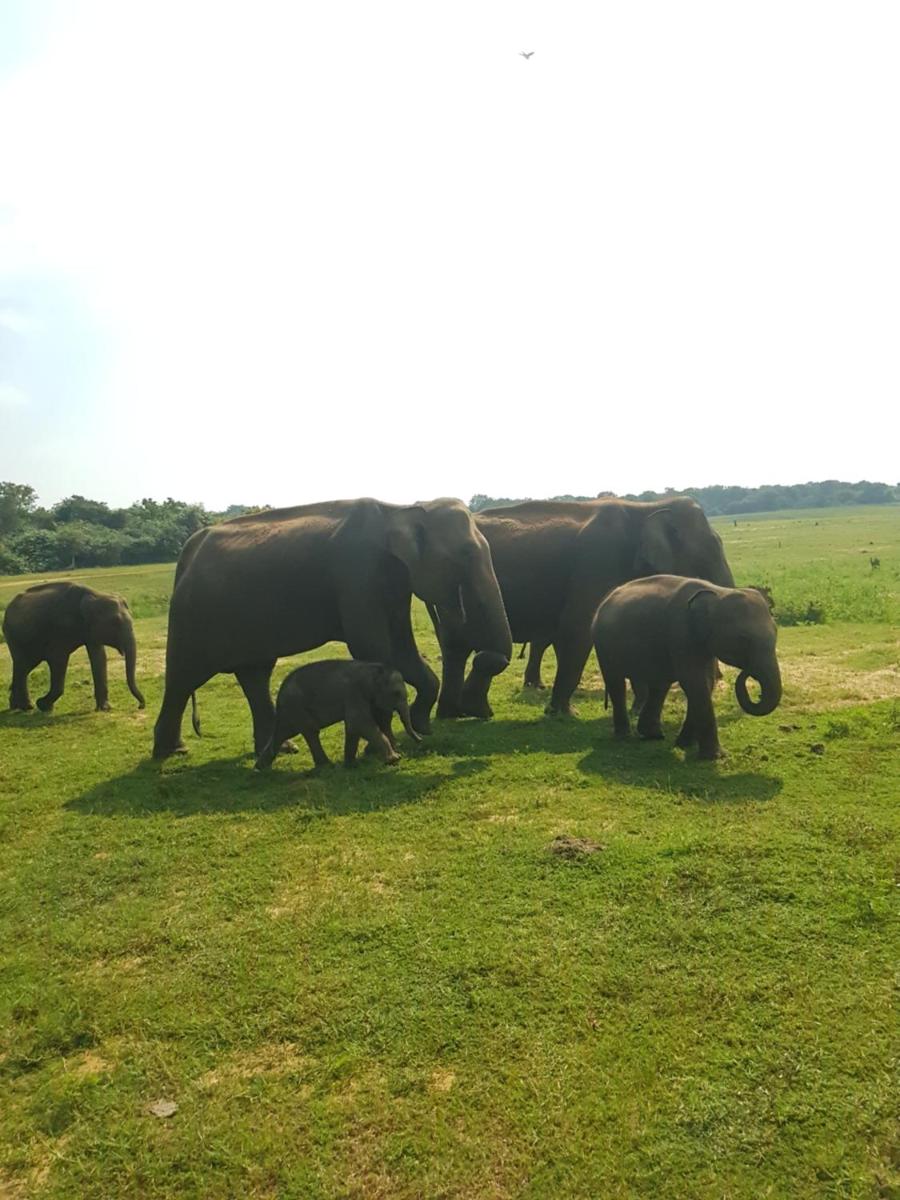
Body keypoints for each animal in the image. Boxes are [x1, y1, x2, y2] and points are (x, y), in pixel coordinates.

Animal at [3, 582, 145, 713]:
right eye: (115, 622)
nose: (140, 706)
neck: (94, 594)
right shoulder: (60, 628)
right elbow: (58, 659)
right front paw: (43, 705)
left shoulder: (90, 631)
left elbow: (99, 657)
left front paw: (105, 708)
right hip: (13, 635)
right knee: (22, 665)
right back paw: (27, 706)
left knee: (25, 666)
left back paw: (17, 706)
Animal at [255, 659, 420, 770]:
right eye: (396, 693)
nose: (420, 739)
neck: (370, 668)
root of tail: (279, 698)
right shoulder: (354, 692)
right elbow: (358, 722)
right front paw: (394, 759)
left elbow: (354, 728)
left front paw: (351, 764)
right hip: (296, 707)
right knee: (310, 732)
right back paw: (327, 766)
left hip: (291, 712)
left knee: (282, 734)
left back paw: (260, 768)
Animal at [433, 497, 735, 720]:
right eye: (709, 556)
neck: (646, 508)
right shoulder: (597, 561)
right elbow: (577, 629)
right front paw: (565, 713)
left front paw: (638, 709)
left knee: (456, 647)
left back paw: (455, 712)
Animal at [592, 574, 782, 760]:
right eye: (743, 639)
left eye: (776, 632)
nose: (748, 672)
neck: (718, 593)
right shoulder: (681, 634)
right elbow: (694, 682)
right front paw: (715, 756)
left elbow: (706, 682)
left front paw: (684, 744)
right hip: (603, 644)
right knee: (616, 683)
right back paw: (624, 736)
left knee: (659, 685)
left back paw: (653, 735)